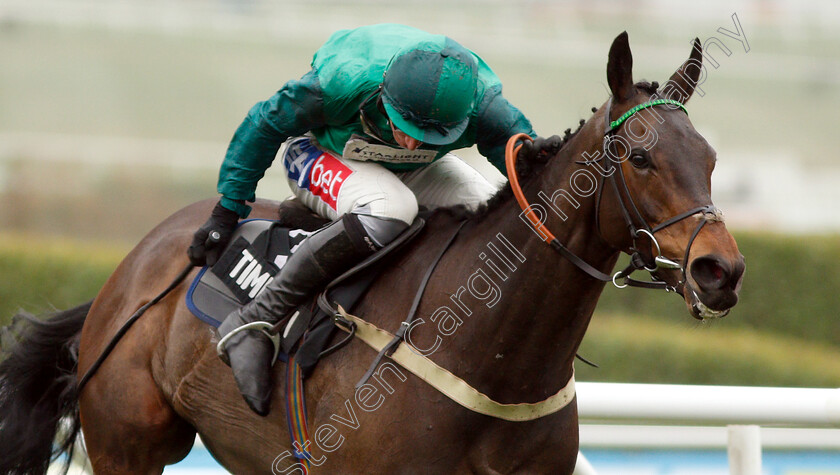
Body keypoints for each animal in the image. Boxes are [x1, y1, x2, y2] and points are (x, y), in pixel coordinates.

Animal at [1, 31, 748, 474]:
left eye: (711, 158)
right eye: (642, 158)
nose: (721, 269)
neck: (493, 356)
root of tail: (133, 268)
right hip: (127, 441)